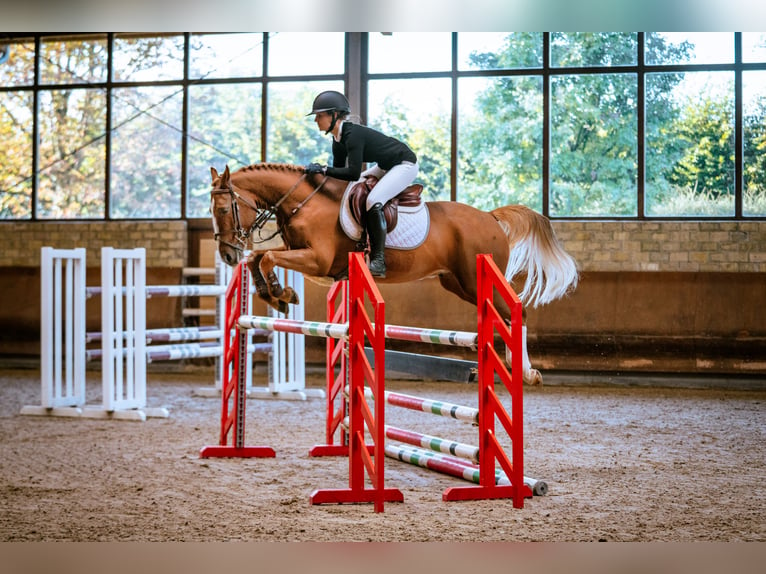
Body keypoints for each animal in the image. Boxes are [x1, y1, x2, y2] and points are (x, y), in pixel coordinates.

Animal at [207, 163, 580, 388]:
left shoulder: (317, 261)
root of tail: (489, 216)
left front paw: (280, 294)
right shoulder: (303, 257)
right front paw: (277, 295)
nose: (227, 254)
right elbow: (259, 258)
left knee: (516, 313)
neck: (303, 202)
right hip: (458, 283)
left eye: (223, 209)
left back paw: (526, 372)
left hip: (476, 280)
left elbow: (267, 256)